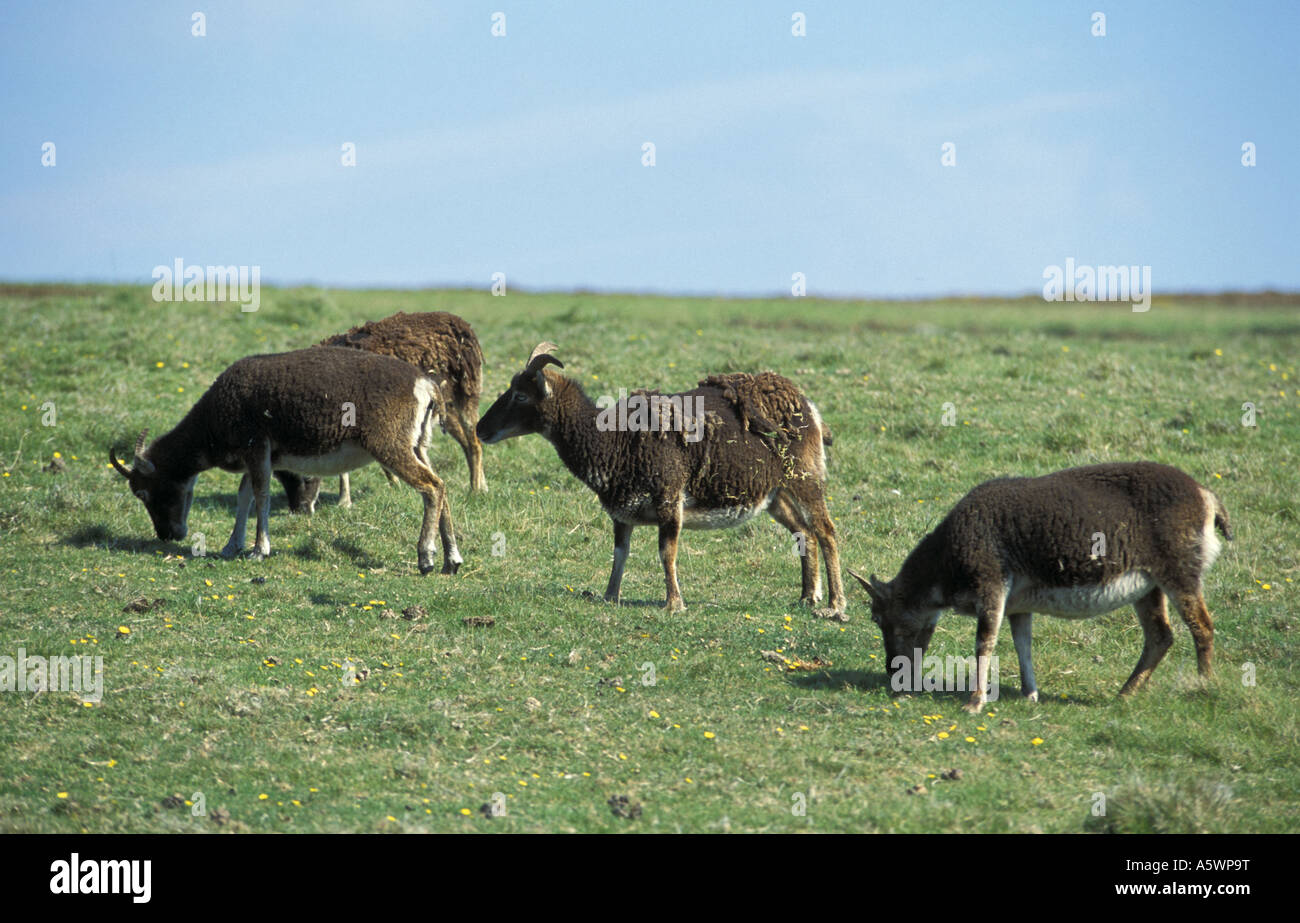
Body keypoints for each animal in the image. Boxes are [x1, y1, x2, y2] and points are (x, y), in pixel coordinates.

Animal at [111, 348, 465, 574]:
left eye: (143, 491)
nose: (167, 535)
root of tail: (426, 384)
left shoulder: (256, 446)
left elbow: (261, 494)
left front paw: (258, 550)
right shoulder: (258, 455)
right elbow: (244, 496)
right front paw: (231, 546)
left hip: (390, 446)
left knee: (431, 487)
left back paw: (426, 559)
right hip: (418, 446)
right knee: (443, 486)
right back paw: (452, 560)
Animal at [475, 343, 842, 611]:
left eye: (521, 395)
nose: (481, 429)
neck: (612, 439)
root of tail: (807, 405)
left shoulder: (669, 500)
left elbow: (667, 552)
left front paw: (674, 604)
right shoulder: (621, 511)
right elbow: (619, 553)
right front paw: (610, 596)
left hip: (805, 478)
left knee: (825, 531)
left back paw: (835, 605)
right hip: (776, 495)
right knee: (803, 533)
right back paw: (807, 598)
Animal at [847, 462, 1232, 717]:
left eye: (879, 617)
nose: (892, 669)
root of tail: (1208, 499)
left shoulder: (991, 586)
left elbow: (984, 643)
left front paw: (975, 702)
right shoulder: (1018, 606)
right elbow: (1023, 646)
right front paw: (1029, 694)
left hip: (1180, 574)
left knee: (1201, 627)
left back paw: (1204, 686)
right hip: (1148, 588)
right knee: (1160, 636)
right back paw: (1123, 695)